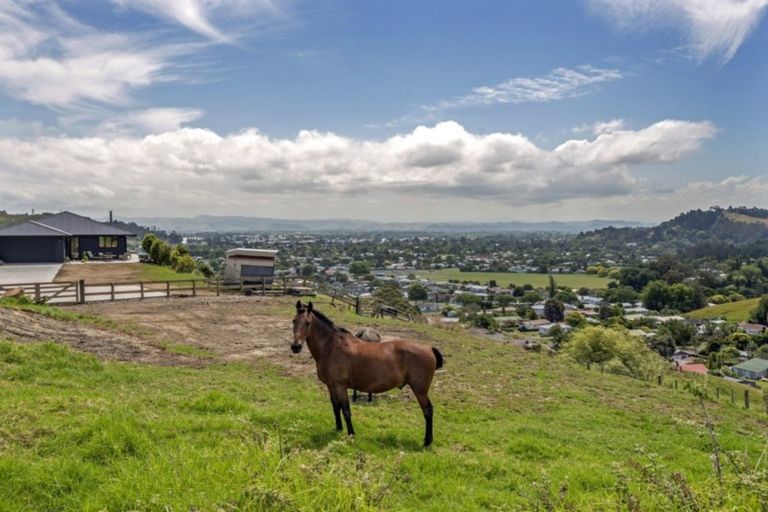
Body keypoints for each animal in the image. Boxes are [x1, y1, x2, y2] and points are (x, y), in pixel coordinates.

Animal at [290, 302, 444, 446]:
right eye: (294, 321)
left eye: (307, 323)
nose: (295, 346)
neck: (332, 347)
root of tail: (429, 348)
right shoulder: (331, 386)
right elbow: (336, 407)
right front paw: (338, 429)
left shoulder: (340, 386)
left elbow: (346, 410)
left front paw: (351, 434)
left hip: (420, 391)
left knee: (428, 411)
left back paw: (427, 441)